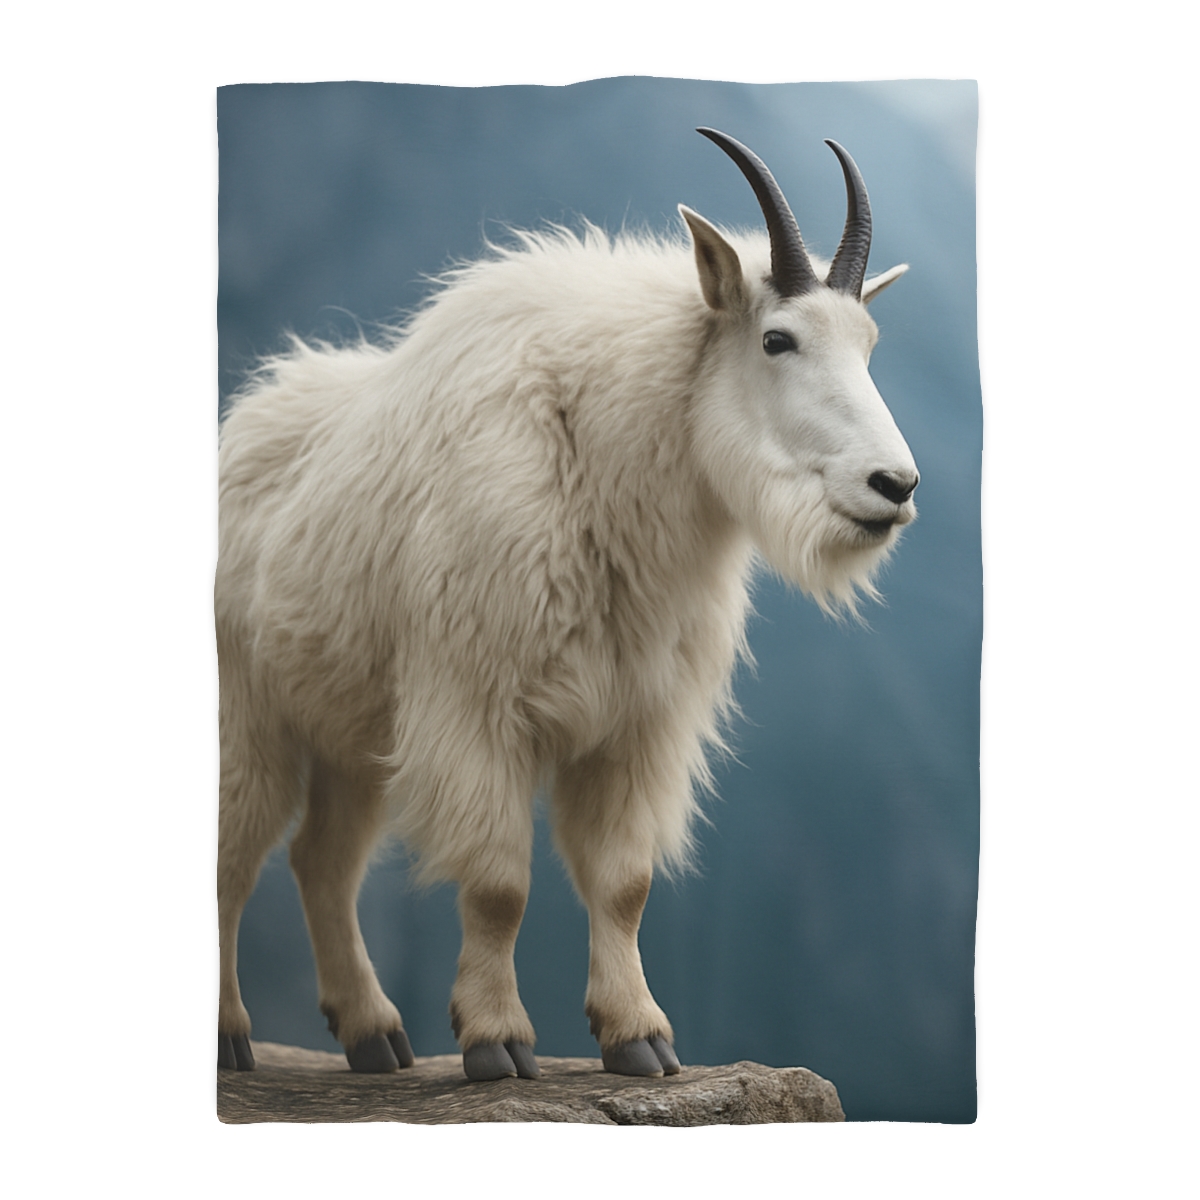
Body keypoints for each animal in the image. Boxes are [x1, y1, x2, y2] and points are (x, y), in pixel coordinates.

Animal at [216, 128, 919, 1080]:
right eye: (778, 339)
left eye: (870, 342)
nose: (895, 485)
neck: (598, 452)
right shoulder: (476, 707)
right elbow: (499, 885)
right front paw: (497, 1041)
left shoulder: (638, 724)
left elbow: (624, 885)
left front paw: (640, 1037)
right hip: (247, 711)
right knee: (232, 854)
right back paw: (232, 1034)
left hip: (348, 734)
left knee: (321, 859)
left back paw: (375, 1035)